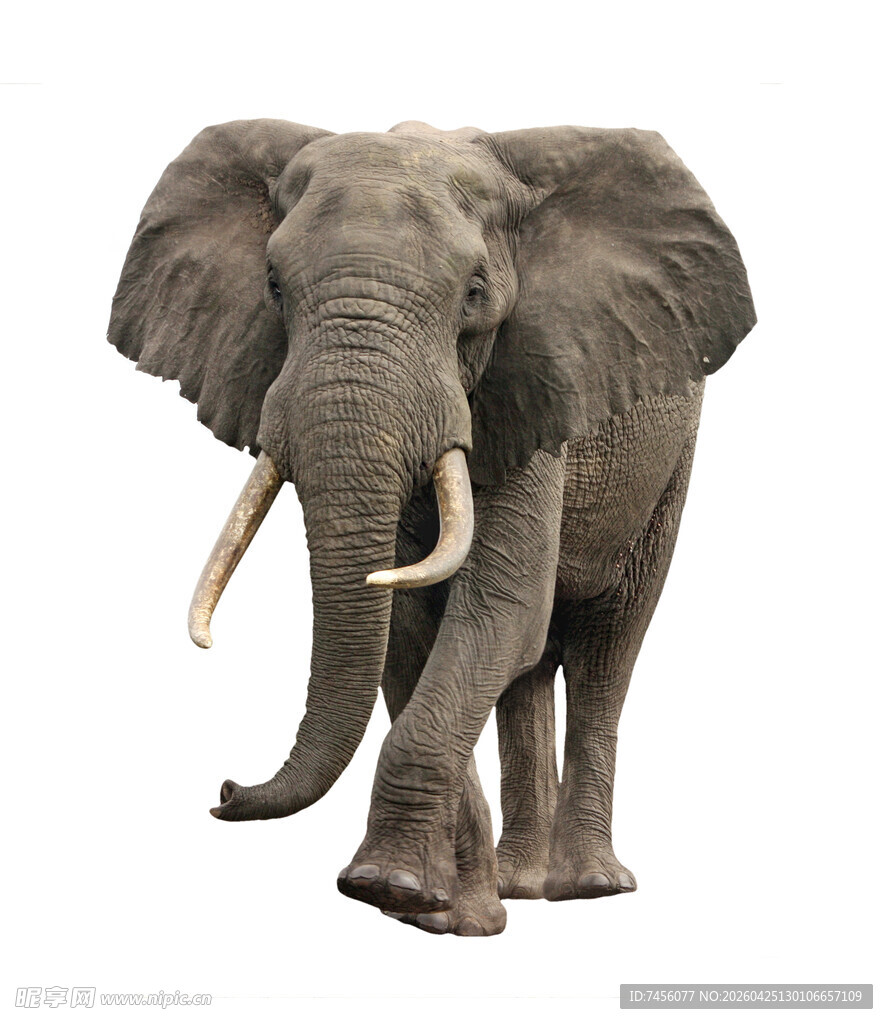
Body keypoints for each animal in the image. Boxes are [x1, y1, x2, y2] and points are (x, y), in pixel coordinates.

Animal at [108, 119, 755, 936]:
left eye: (475, 294)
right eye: (273, 287)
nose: (225, 789)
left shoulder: (530, 389)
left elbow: (498, 612)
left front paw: (389, 887)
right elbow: (410, 628)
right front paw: (442, 913)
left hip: (668, 462)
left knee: (607, 645)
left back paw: (594, 887)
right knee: (528, 671)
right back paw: (519, 886)